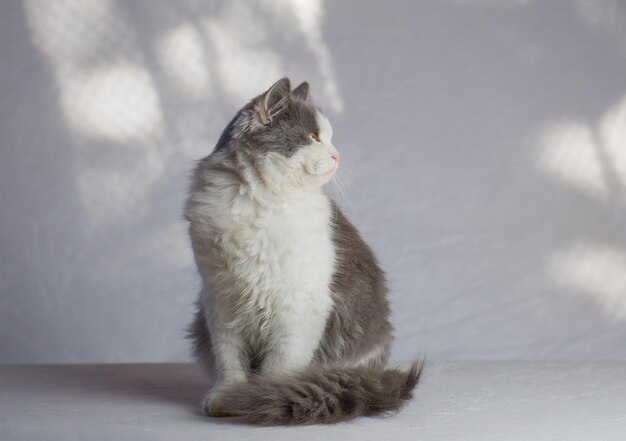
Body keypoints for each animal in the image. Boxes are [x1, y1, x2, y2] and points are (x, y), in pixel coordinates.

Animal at [185, 78, 420, 422]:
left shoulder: (299, 303)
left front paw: (258, 398)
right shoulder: (221, 301)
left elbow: (279, 367)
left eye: (330, 138)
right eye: (312, 136)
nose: (337, 155)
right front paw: (226, 396)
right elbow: (229, 361)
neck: (259, 201)